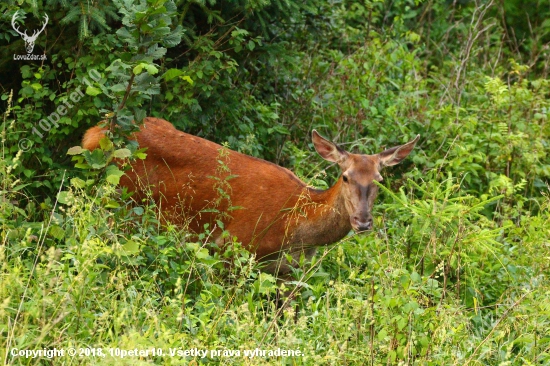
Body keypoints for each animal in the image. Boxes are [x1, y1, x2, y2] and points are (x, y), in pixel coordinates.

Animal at [82, 117, 420, 274]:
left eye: (379, 180)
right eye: (345, 176)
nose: (362, 221)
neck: (294, 228)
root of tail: (96, 132)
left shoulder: (289, 272)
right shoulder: (231, 246)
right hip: (124, 201)